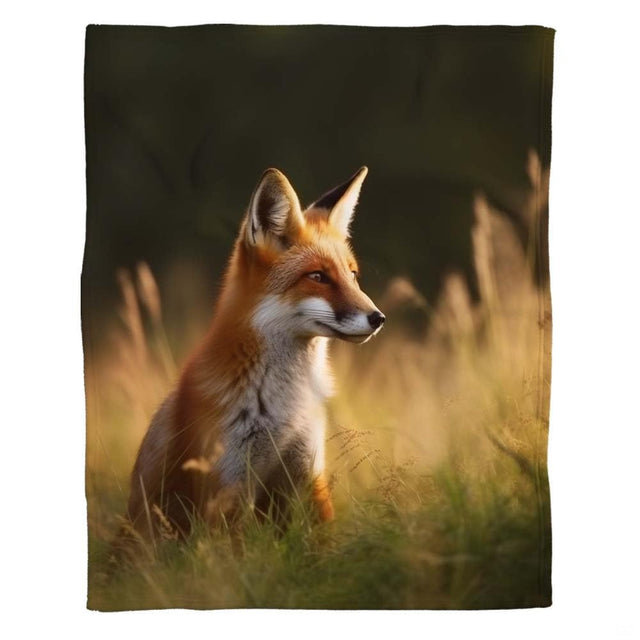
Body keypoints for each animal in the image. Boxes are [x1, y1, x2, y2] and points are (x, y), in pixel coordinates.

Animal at [125, 166, 385, 542]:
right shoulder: (228, 486)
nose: (378, 318)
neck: (283, 405)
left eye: (352, 275)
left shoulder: (308, 474)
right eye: (318, 276)